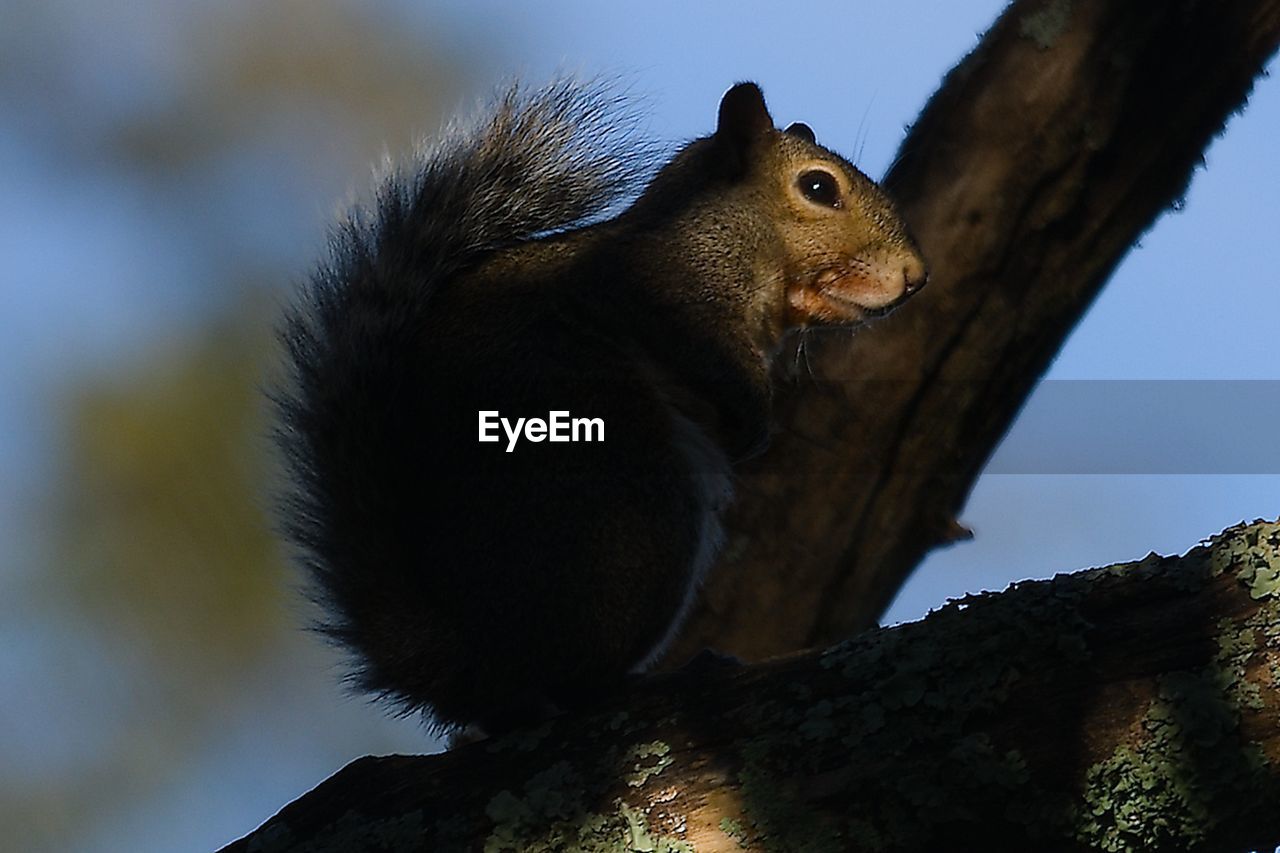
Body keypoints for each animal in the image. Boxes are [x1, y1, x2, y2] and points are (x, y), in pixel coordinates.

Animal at [275, 78, 926, 732]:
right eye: (818, 188)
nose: (916, 276)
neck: (727, 236)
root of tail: (476, 665)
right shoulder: (662, 298)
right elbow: (713, 365)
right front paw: (752, 427)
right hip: (634, 511)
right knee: (581, 682)